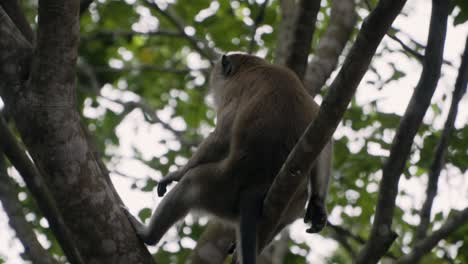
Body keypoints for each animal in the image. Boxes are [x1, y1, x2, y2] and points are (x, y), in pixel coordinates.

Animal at [122, 52, 330, 262]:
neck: (255, 66)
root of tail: (257, 185)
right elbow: (324, 135)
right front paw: (318, 204)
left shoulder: (232, 90)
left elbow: (222, 136)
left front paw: (175, 174)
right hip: (289, 207)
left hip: (221, 188)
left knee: (191, 183)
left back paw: (148, 235)